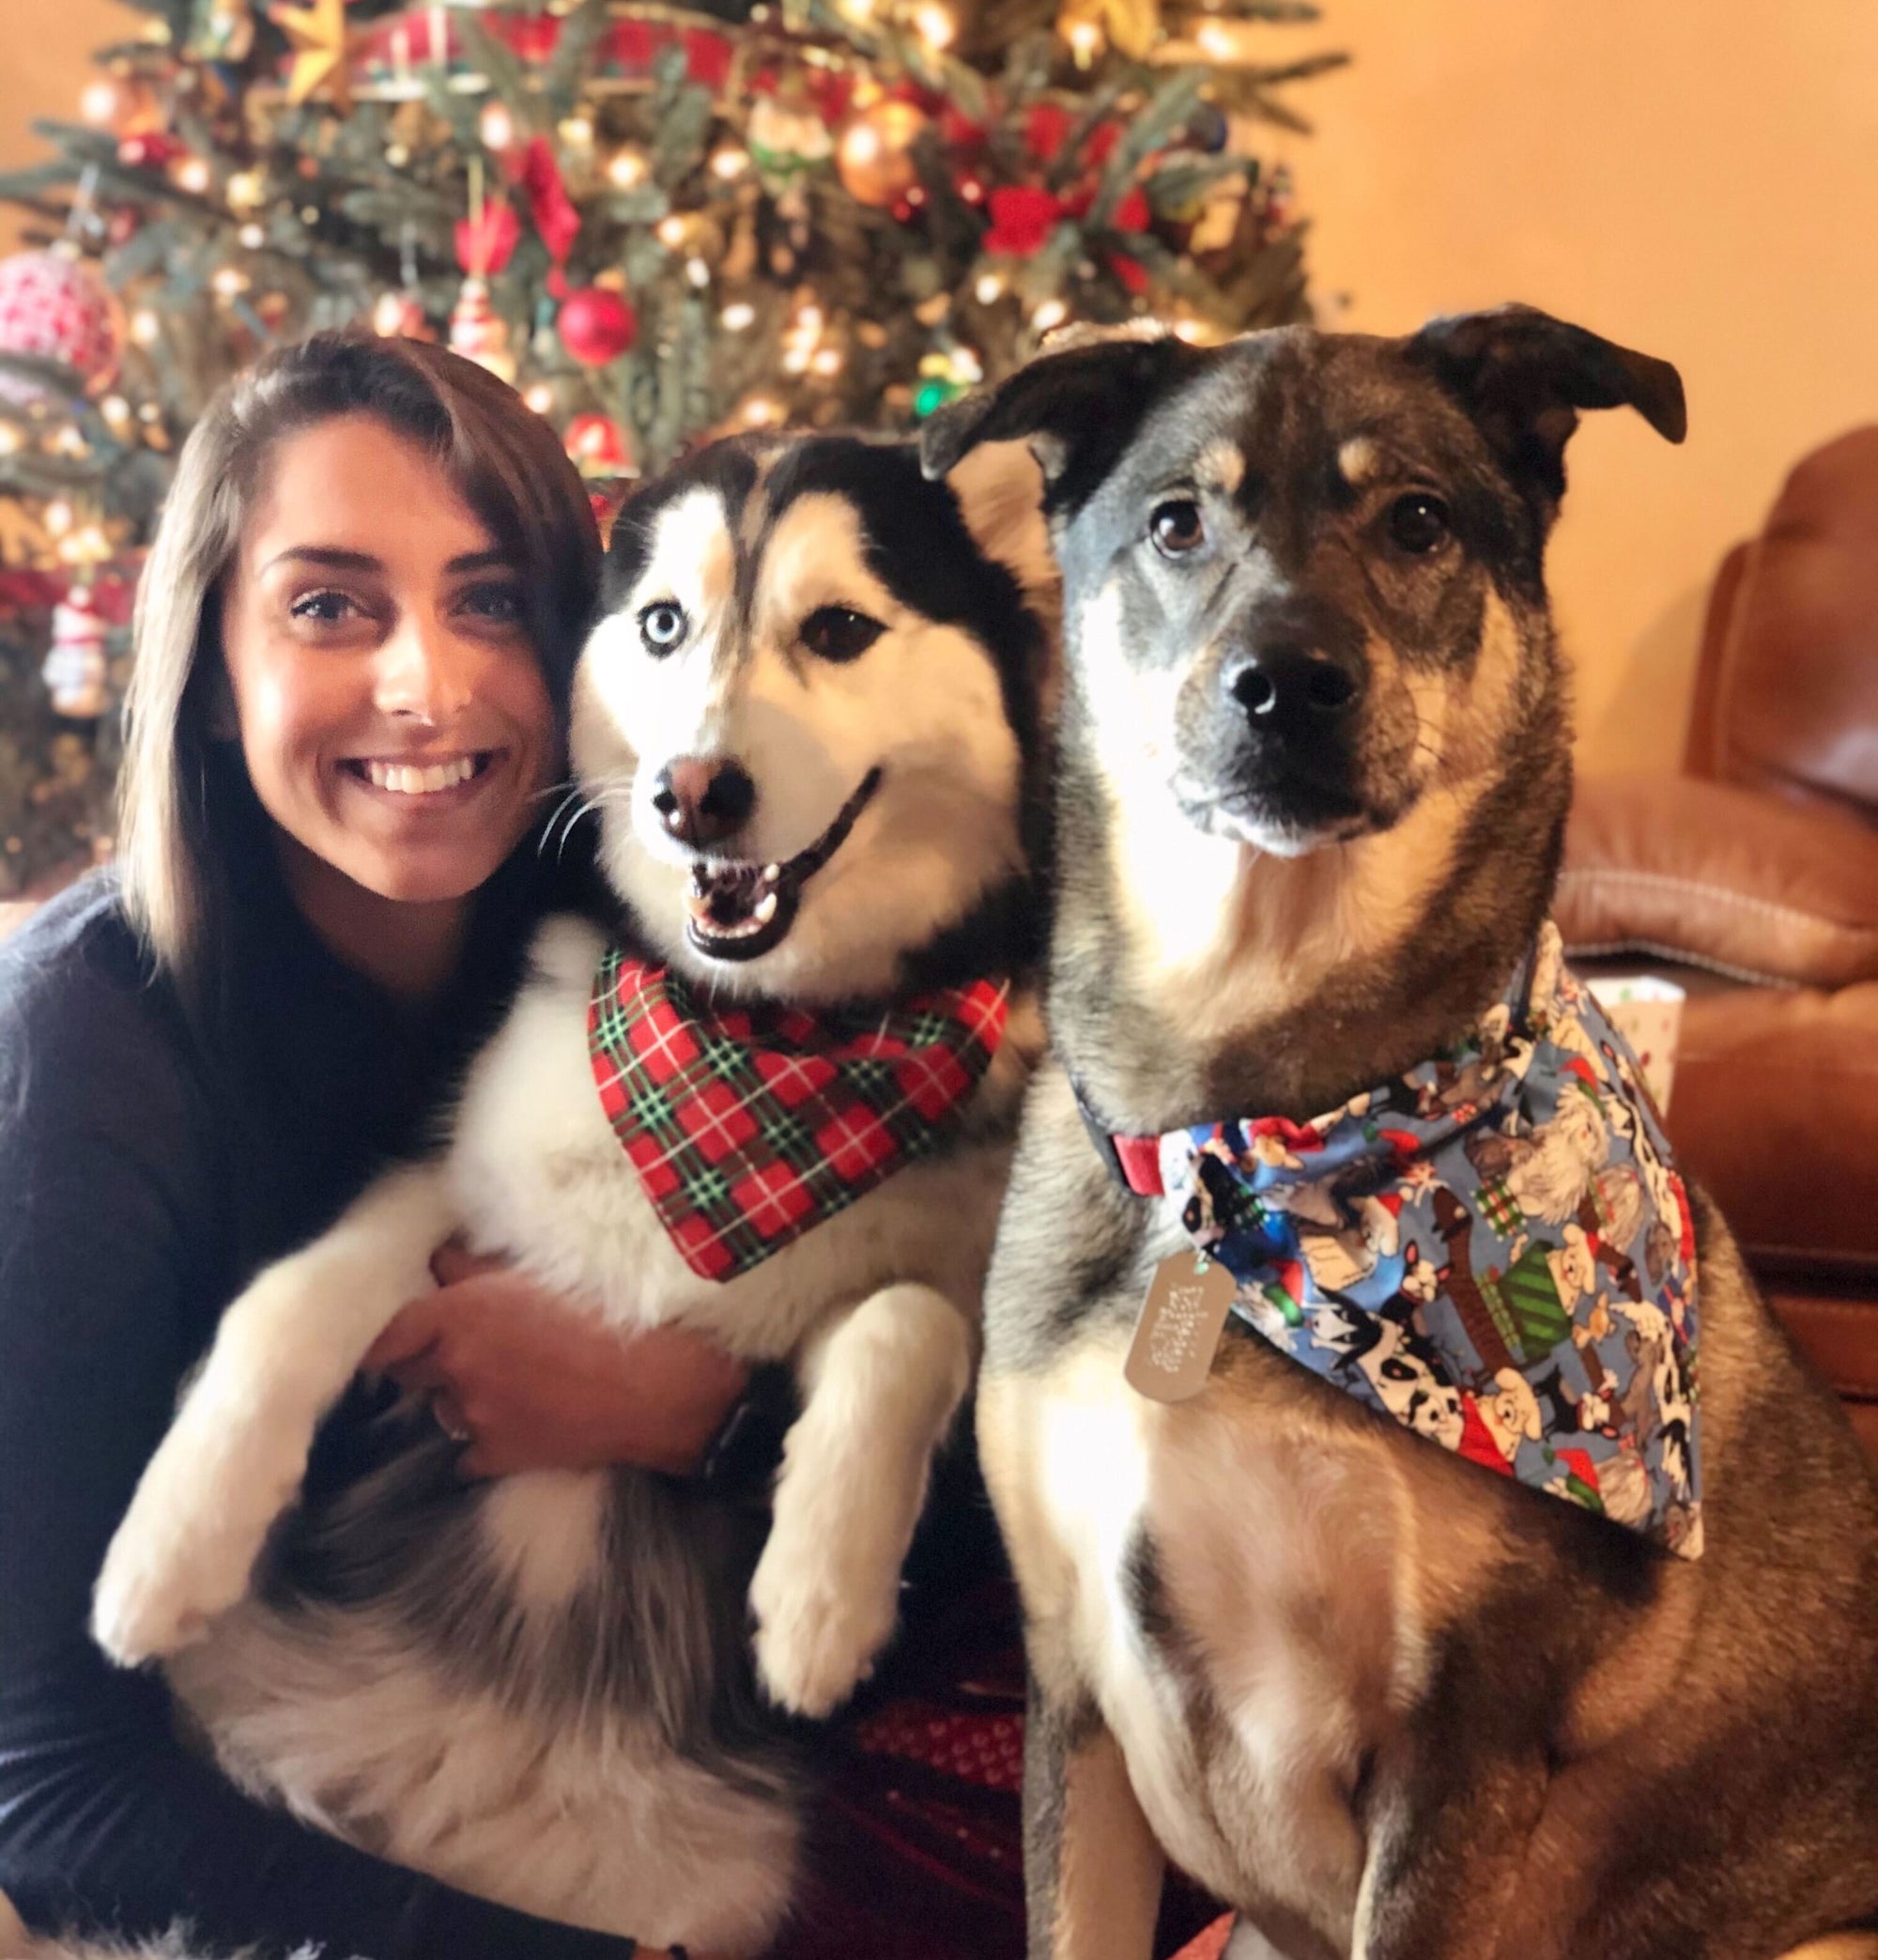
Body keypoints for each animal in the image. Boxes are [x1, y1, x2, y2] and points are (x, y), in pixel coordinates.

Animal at [87, 433, 1050, 1960]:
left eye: (840, 628)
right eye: (661, 624)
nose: (692, 791)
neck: (752, 1044)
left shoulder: (866, 1293)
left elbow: (910, 1320)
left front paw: (819, 1600)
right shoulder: (464, 1184)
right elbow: (290, 1295)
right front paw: (165, 1550)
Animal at [925, 309, 1878, 1960]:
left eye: (1417, 520)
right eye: (1176, 523)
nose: (1285, 683)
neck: (1248, 1146)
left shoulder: (1459, 1755)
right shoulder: (1076, 1684)